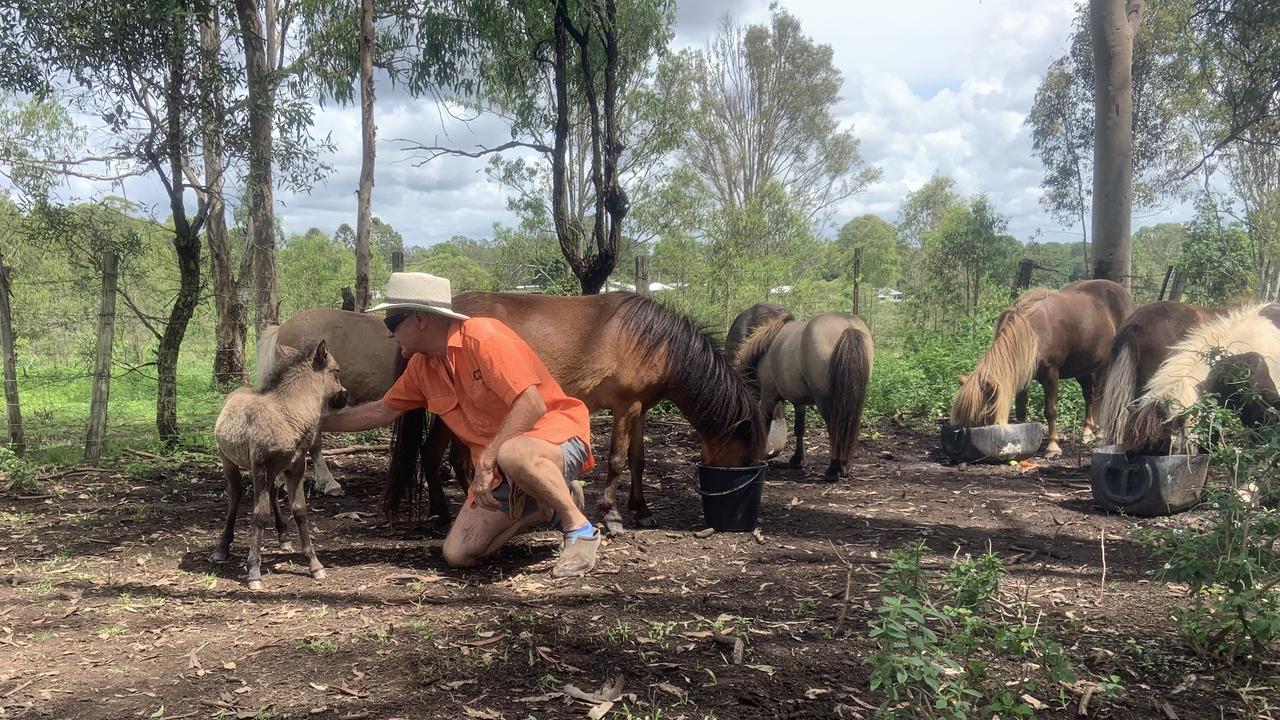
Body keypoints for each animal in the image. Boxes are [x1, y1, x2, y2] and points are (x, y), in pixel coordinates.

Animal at [386, 288, 768, 530]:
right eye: (745, 458)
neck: (655, 343)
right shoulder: (625, 408)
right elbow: (617, 460)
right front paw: (612, 514)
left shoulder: (640, 409)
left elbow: (638, 460)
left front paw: (642, 509)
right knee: (439, 455)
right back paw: (448, 511)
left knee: (444, 456)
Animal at [737, 307, 875, 479]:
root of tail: (848, 326)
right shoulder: (799, 401)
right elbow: (799, 428)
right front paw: (797, 459)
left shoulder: (768, 395)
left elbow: (766, 425)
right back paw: (844, 466)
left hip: (825, 400)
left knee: (834, 427)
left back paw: (834, 469)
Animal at [947, 278, 1136, 456]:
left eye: (982, 417)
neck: (1032, 333)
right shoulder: (1023, 377)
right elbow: (1021, 410)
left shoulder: (1051, 374)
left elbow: (1050, 411)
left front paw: (1053, 446)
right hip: (1083, 366)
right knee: (1089, 394)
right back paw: (1087, 431)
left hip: (1109, 364)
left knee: (1104, 393)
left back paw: (1102, 432)